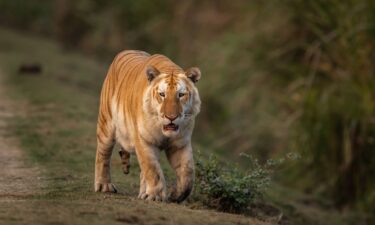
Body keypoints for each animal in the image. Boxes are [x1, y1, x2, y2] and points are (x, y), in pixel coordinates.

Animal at [95, 49, 201, 202]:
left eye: (181, 95)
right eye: (162, 94)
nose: (171, 117)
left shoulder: (181, 143)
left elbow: (187, 172)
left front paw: (176, 195)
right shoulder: (143, 140)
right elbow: (152, 169)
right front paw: (156, 196)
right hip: (106, 125)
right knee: (103, 154)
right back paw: (104, 186)